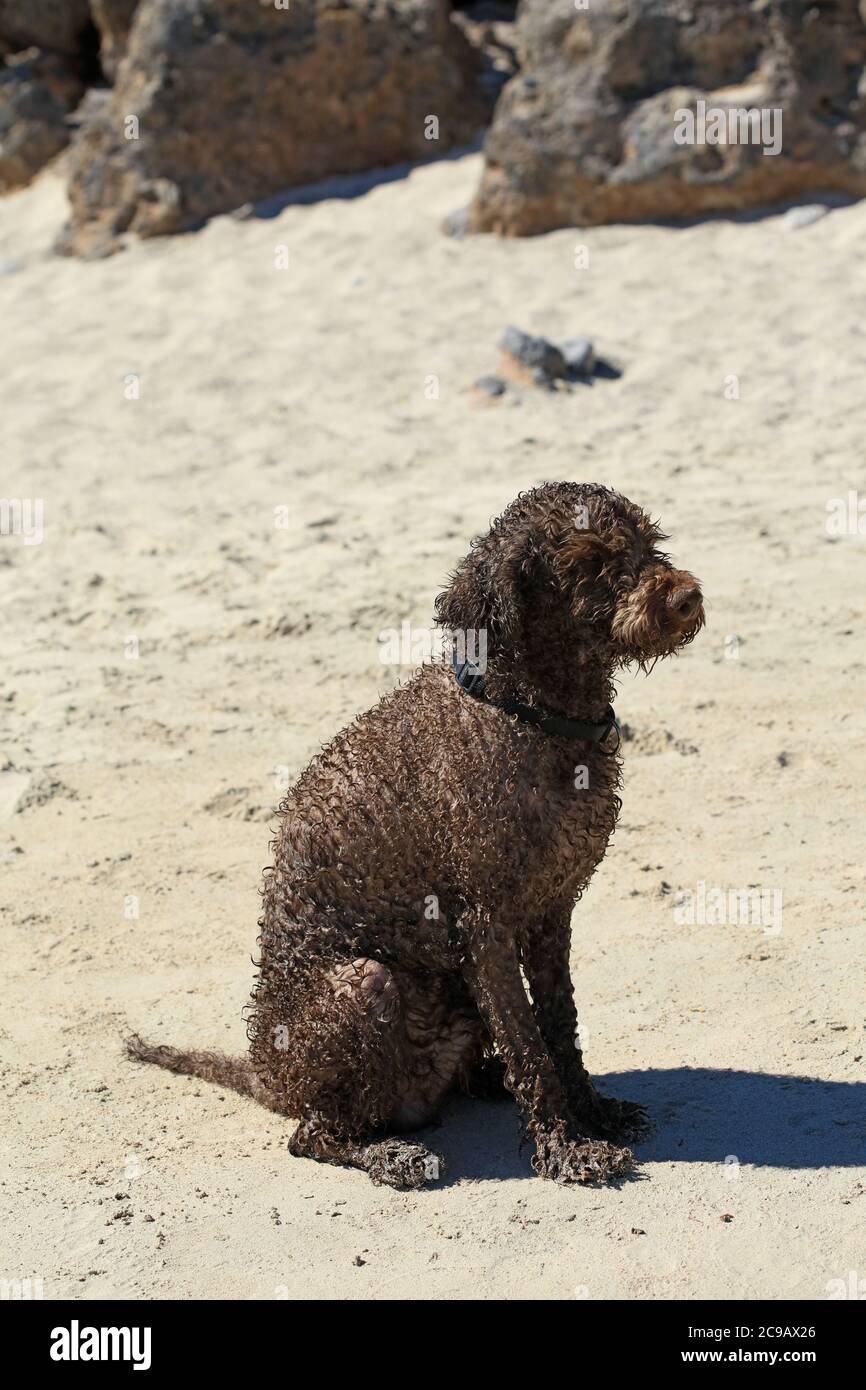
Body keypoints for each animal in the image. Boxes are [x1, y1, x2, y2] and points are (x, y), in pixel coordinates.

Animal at [132, 483, 708, 1189]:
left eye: (650, 545)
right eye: (590, 565)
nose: (687, 596)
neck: (527, 712)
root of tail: (268, 1076)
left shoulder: (550, 915)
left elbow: (559, 1031)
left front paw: (592, 1114)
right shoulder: (487, 926)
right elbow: (530, 1046)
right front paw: (567, 1148)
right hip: (363, 984)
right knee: (312, 1134)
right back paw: (389, 1152)